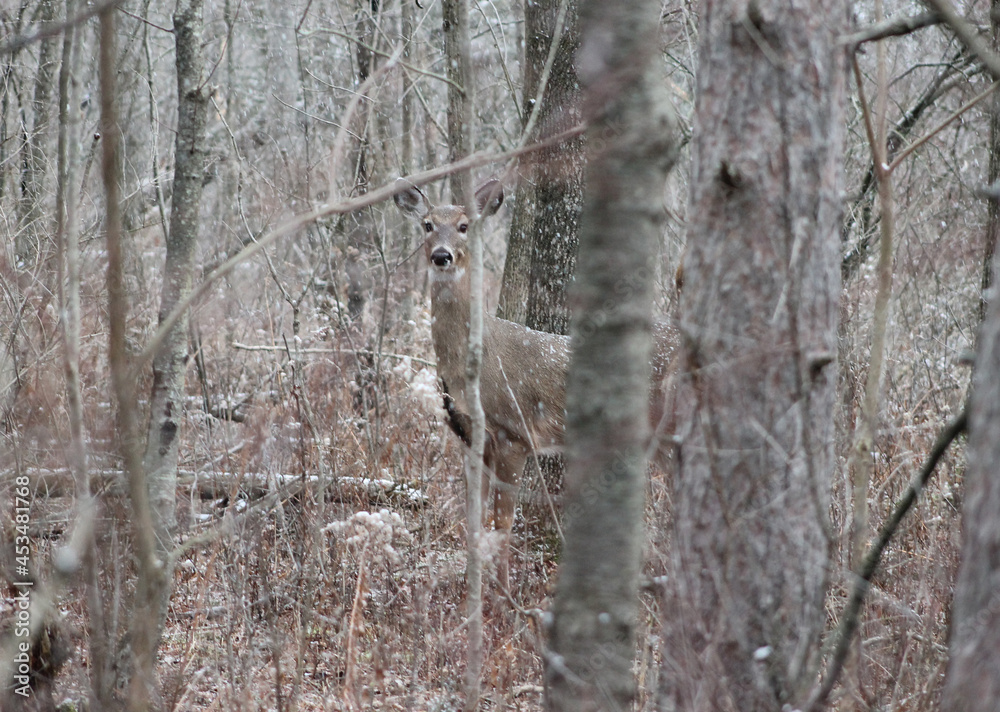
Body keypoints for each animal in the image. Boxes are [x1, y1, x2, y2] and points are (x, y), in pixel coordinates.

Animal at [393, 177, 675, 581]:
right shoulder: (471, 439)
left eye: (464, 226)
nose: (442, 256)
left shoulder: (515, 434)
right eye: (427, 224)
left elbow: (502, 524)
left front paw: (502, 592)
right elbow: (474, 522)